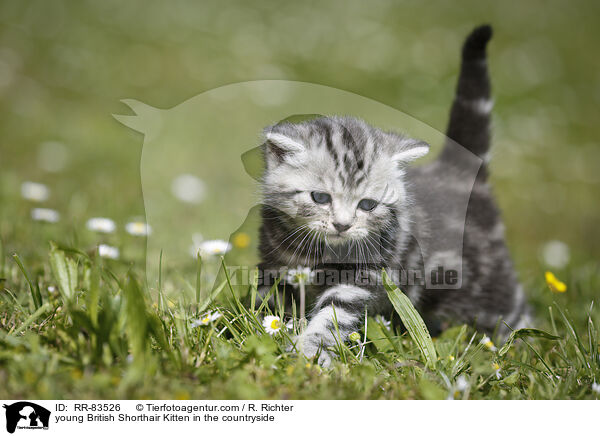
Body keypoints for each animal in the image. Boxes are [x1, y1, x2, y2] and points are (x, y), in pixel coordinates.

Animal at [255, 24, 528, 364]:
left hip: (487, 286)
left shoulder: (362, 275)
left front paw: (310, 352)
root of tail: (460, 172)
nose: (342, 225)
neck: (316, 254)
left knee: (513, 310)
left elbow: (332, 316)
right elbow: (268, 306)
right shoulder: (274, 266)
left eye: (368, 205)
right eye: (320, 198)